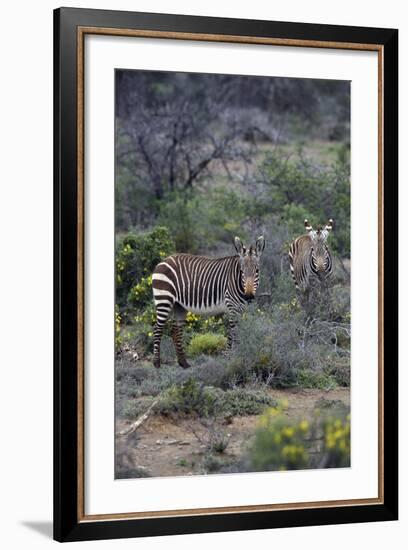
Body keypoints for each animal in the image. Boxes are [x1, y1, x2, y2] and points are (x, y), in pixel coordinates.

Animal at [151, 237, 266, 370]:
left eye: (257, 270)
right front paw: (230, 357)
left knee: (175, 331)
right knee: (157, 329)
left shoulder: (241, 309)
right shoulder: (232, 307)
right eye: (242, 271)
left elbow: (239, 332)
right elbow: (233, 333)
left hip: (179, 305)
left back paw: (183, 363)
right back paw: (156, 363)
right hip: (164, 298)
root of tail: (164, 260)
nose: (248, 296)